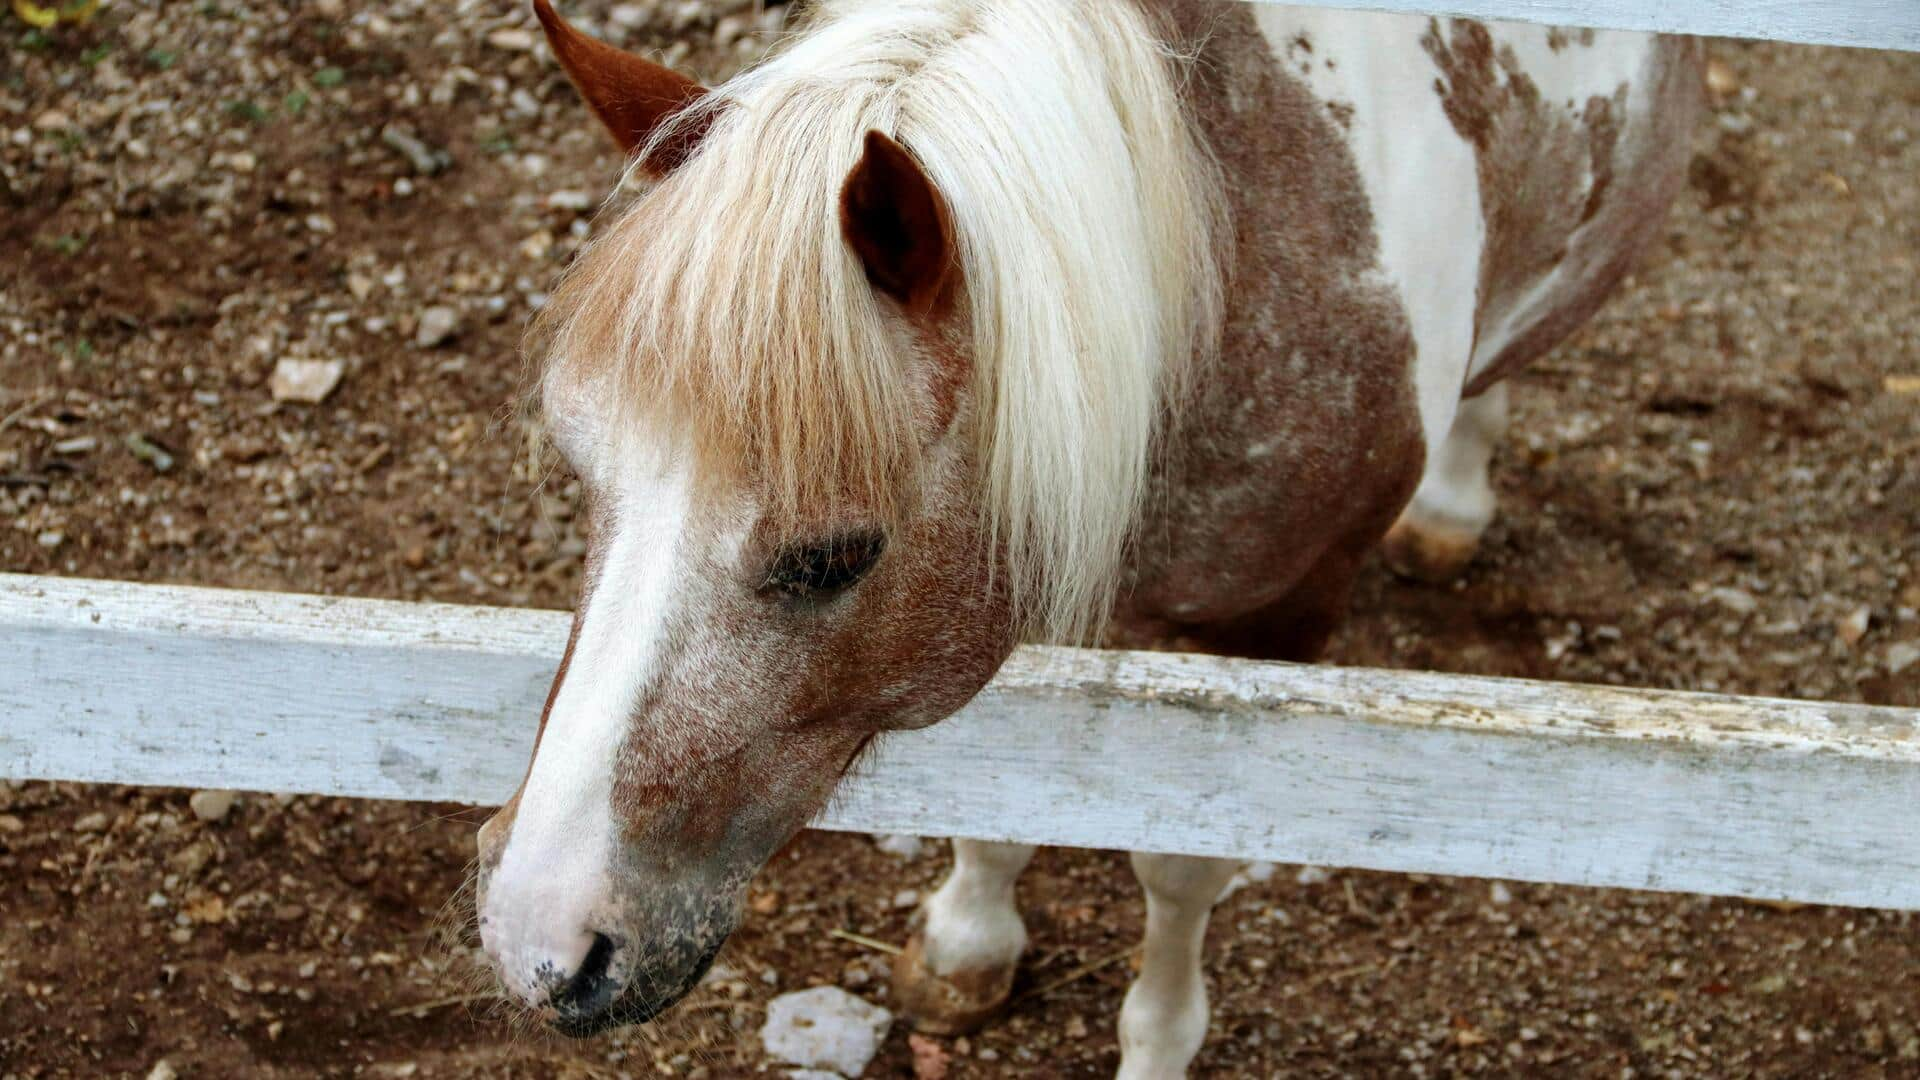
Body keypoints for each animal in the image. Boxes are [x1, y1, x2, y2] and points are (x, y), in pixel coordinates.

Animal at [476, 0, 1697, 1068]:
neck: (1236, 249)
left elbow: (1179, 867)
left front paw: (1158, 1042)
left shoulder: (1273, 629)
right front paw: (967, 945)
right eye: (586, 467)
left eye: (836, 555)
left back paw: (1451, 502)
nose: (540, 938)